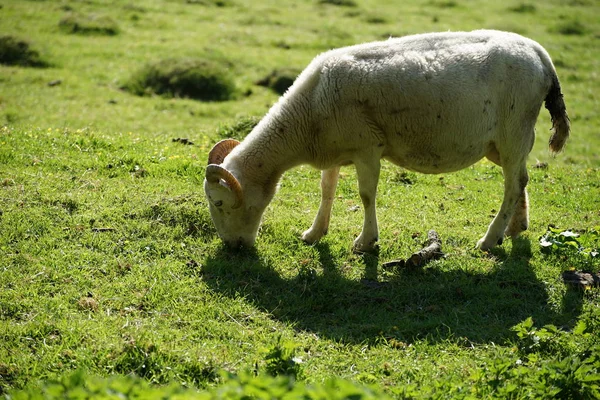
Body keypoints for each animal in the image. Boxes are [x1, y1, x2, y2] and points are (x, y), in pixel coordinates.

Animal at [204, 29, 568, 252]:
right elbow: (327, 190)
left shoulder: (367, 147)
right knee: (521, 178)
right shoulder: (336, 148)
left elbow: (366, 195)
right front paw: (314, 233)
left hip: (513, 129)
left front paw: (365, 242)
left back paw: (490, 239)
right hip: (504, 141)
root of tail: (540, 54)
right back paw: (515, 227)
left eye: (219, 203)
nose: (232, 247)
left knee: (512, 183)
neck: (307, 116)